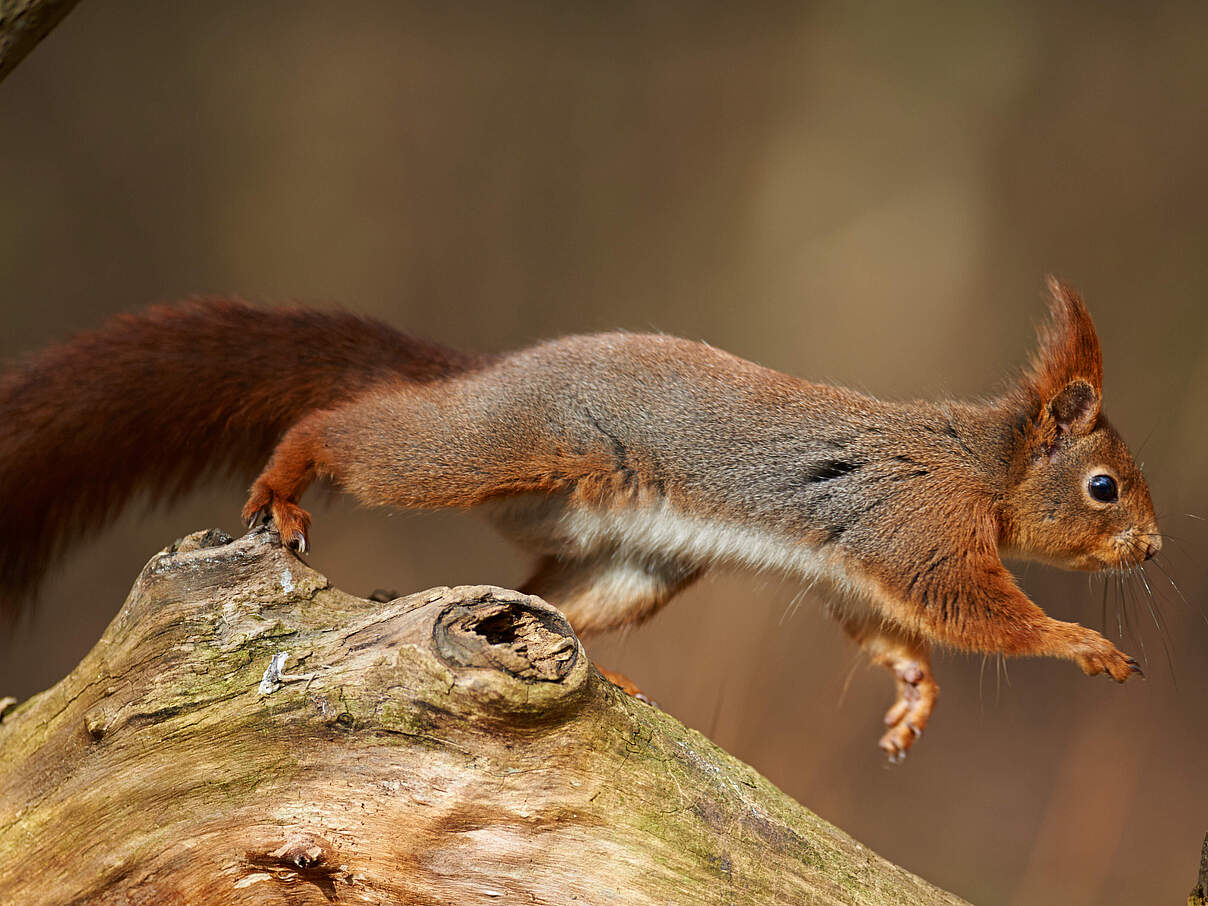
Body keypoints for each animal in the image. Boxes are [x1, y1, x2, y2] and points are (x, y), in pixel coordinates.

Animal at [0, 277, 1159, 759]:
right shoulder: (920, 525)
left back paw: (616, 677)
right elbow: (978, 612)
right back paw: (284, 488)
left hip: (632, 566)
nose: (1152, 547)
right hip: (498, 450)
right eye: (1104, 487)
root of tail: (488, 375)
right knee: (348, 430)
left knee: (543, 601)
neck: (984, 468)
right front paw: (1085, 643)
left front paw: (913, 698)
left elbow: (891, 629)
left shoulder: (860, 559)